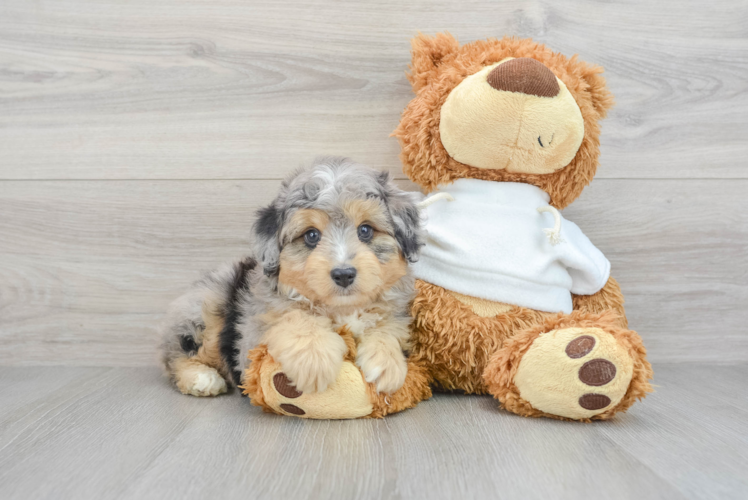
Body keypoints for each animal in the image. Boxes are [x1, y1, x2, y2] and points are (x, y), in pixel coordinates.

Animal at [159, 156, 420, 398]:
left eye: (365, 230)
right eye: (311, 235)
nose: (344, 274)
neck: (340, 308)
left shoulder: (395, 308)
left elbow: (387, 325)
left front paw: (386, 363)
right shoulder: (252, 338)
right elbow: (293, 315)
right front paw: (314, 361)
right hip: (209, 306)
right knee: (176, 356)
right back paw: (202, 378)